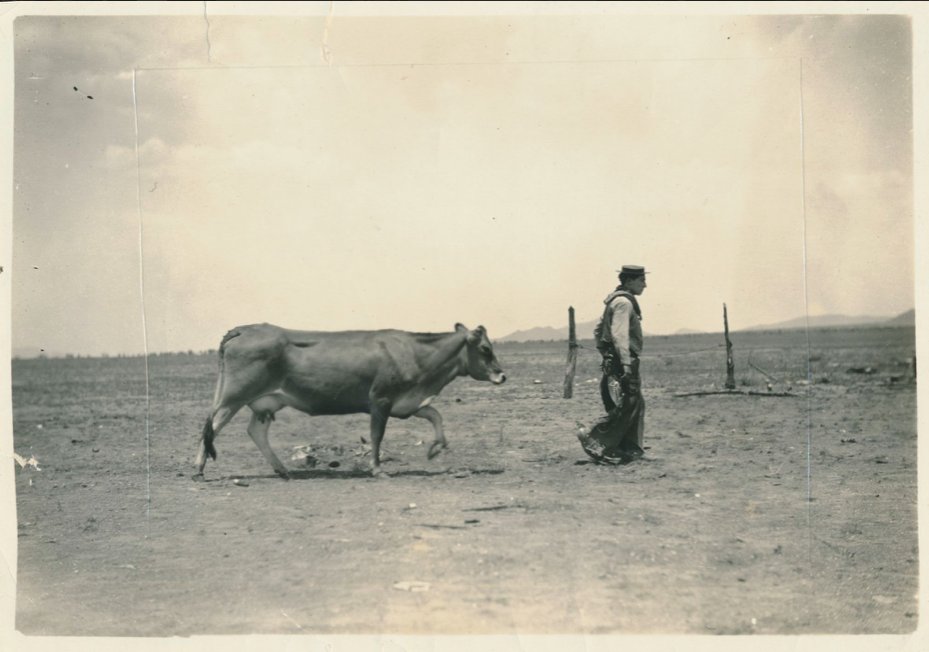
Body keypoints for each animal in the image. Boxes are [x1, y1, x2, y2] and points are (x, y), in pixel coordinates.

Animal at [191, 322, 504, 478]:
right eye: (486, 349)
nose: (502, 376)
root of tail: (244, 328)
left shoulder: (408, 402)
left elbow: (436, 415)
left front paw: (435, 448)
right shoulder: (380, 400)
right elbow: (377, 436)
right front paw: (377, 469)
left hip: (266, 401)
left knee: (254, 431)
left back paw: (282, 469)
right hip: (233, 397)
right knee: (212, 428)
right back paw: (198, 469)